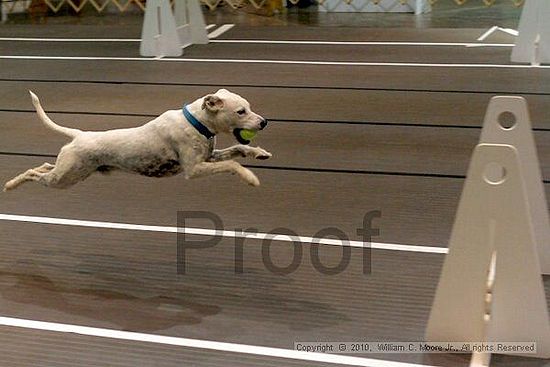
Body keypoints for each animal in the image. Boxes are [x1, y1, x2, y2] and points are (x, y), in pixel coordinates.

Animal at [2, 89, 274, 193]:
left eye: (249, 108)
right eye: (241, 111)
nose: (263, 122)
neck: (196, 122)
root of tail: (79, 134)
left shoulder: (209, 157)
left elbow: (237, 150)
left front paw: (259, 152)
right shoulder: (194, 169)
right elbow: (233, 164)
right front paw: (250, 177)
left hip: (70, 171)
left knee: (44, 166)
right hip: (63, 178)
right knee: (33, 173)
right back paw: (11, 185)